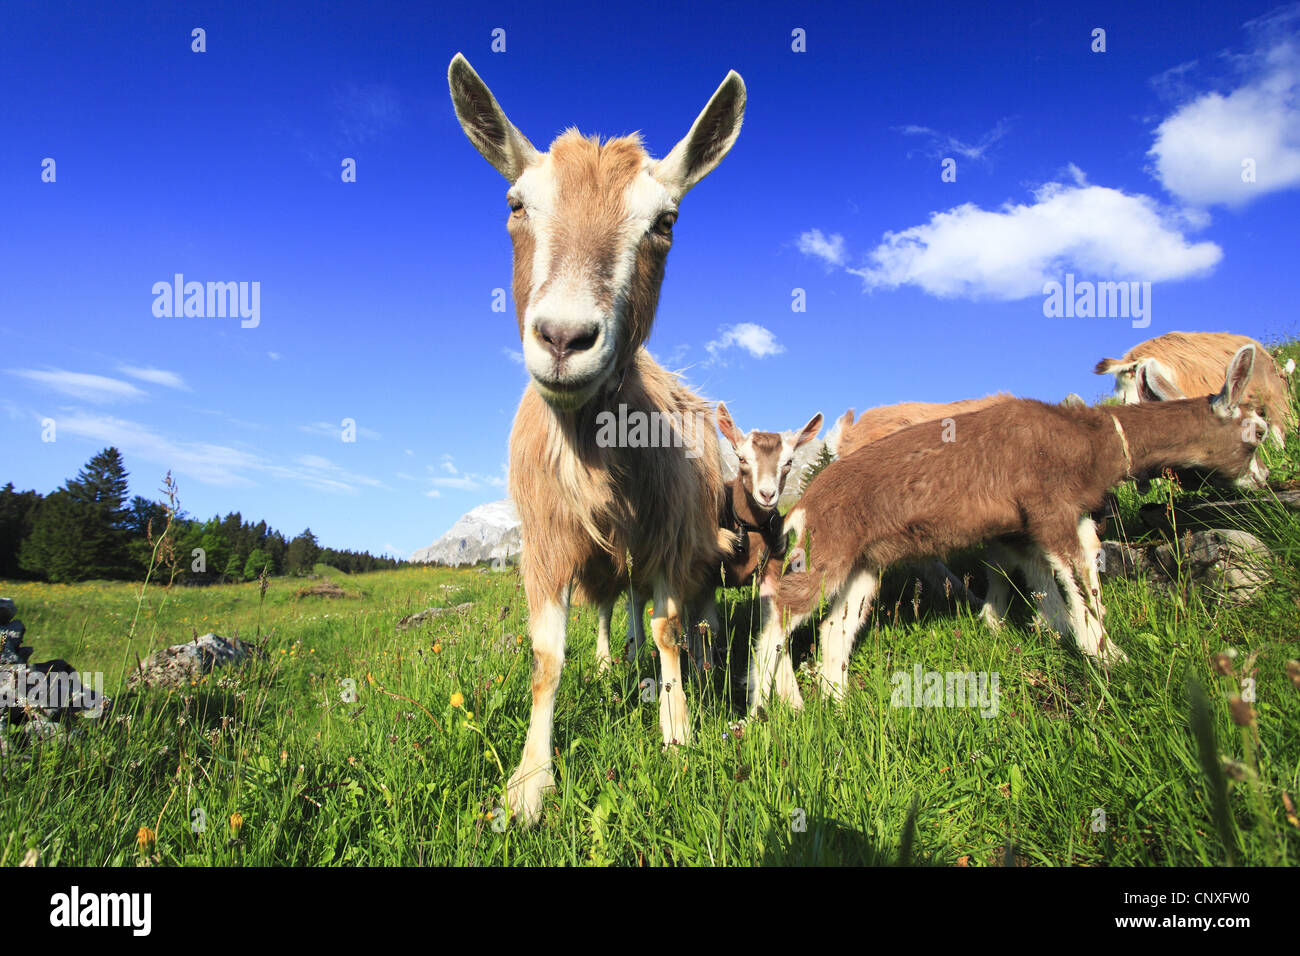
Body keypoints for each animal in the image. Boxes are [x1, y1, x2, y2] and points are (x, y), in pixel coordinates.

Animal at [452, 55, 748, 827]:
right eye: (515, 204)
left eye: (665, 221)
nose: (563, 338)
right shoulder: (546, 539)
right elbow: (547, 656)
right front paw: (529, 784)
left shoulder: (673, 531)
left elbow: (671, 628)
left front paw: (677, 733)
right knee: (616, 606)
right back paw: (615, 661)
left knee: (666, 611)